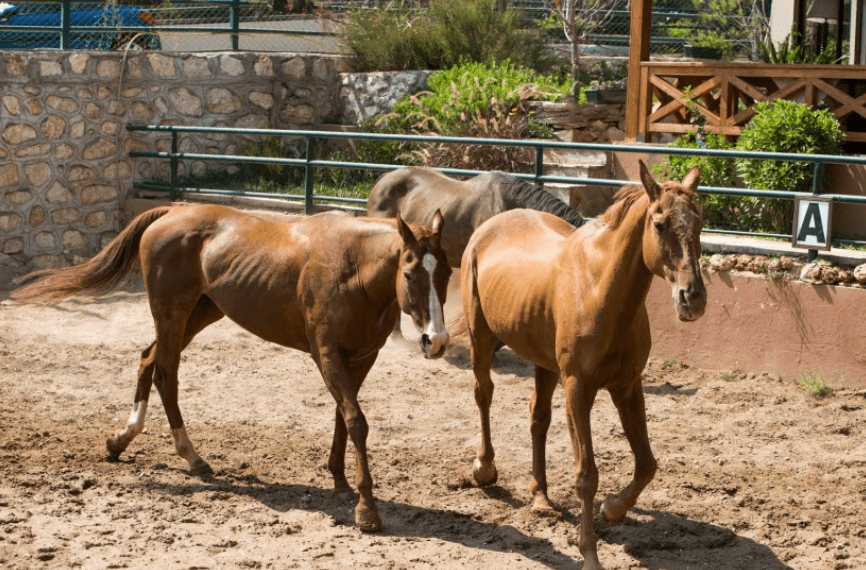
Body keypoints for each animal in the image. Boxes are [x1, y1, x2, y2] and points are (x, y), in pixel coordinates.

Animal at [11, 204, 452, 532]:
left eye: (446, 272)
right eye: (410, 272)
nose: (436, 340)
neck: (351, 267)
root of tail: (173, 211)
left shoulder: (360, 357)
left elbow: (343, 417)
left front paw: (340, 480)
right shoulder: (327, 354)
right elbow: (356, 420)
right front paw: (366, 509)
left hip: (201, 312)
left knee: (148, 360)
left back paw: (121, 441)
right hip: (173, 313)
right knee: (166, 374)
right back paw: (192, 457)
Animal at [462, 161, 704, 568]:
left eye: (700, 223)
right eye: (659, 224)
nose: (694, 298)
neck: (599, 290)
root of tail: (488, 228)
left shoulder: (627, 387)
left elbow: (646, 464)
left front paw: (612, 509)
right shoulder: (578, 388)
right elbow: (587, 474)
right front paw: (589, 551)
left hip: (544, 363)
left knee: (538, 417)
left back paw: (540, 496)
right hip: (481, 338)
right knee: (483, 394)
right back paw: (484, 468)